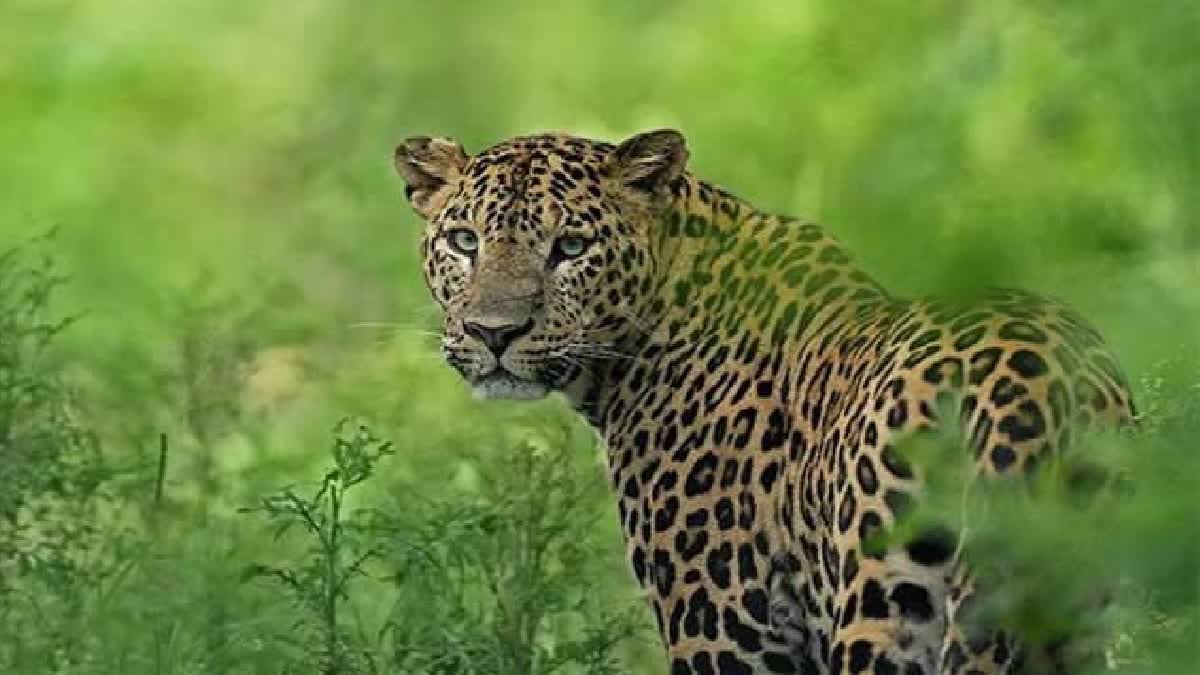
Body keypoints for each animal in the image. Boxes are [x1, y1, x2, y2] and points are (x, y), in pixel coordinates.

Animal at [391, 128, 1132, 667]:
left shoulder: (722, 626)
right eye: (464, 240)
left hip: (888, 604)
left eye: (570, 247)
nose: (493, 332)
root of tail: (1034, 383)